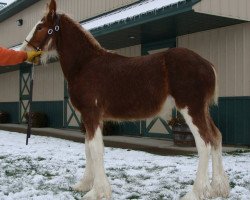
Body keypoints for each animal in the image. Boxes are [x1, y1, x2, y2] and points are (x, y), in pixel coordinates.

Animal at [22, 0, 230, 199]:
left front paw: (97, 192)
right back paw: (218, 189)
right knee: (216, 137)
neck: (85, 64)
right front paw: (84, 185)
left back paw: (195, 193)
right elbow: (88, 148)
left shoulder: (92, 114)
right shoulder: (90, 117)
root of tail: (207, 64)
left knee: (204, 143)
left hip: (191, 109)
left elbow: (95, 148)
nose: (26, 52)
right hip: (203, 110)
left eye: (40, 26)